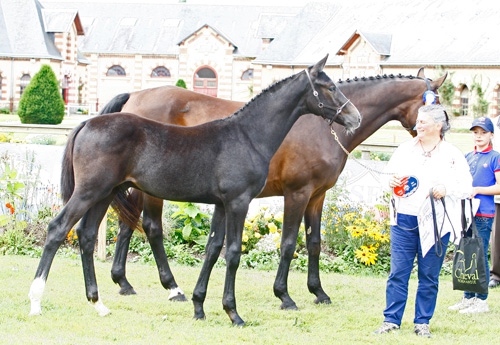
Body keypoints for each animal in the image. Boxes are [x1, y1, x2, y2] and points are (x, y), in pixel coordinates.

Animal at [29, 56, 362, 326]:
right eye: (329, 86)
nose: (355, 117)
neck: (247, 136)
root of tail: (87, 122)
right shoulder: (239, 202)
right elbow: (233, 252)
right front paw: (233, 313)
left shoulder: (221, 204)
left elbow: (213, 248)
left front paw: (199, 307)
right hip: (89, 192)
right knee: (58, 229)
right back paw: (36, 301)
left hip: (106, 193)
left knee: (85, 237)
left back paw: (98, 304)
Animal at [100, 67, 446, 310]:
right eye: (435, 103)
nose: (444, 134)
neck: (317, 123)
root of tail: (134, 96)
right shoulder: (297, 193)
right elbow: (289, 244)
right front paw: (284, 295)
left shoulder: (317, 196)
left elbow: (314, 243)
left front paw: (318, 291)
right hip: (152, 190)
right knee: (152, 227)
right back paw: (172, 287)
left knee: (127, 222)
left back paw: (123, 281)